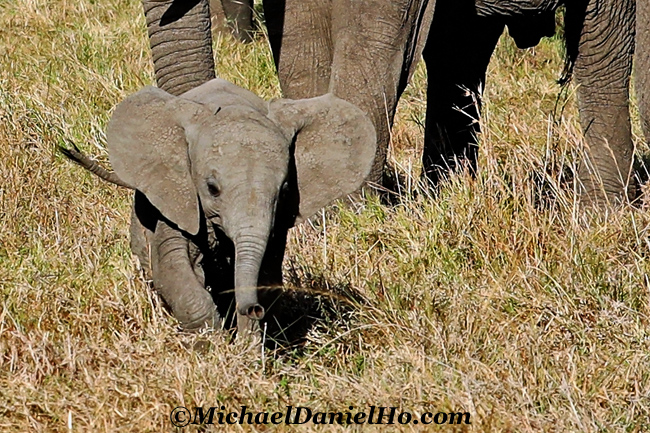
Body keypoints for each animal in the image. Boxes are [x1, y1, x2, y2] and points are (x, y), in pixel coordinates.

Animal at [64, 78, 374, 334]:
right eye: (212, 188)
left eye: (286, 190)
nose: (253, 309)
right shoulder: (179, 196)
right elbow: (172, 266)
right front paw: (213, 347)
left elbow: (266, 275)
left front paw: (249, 351)